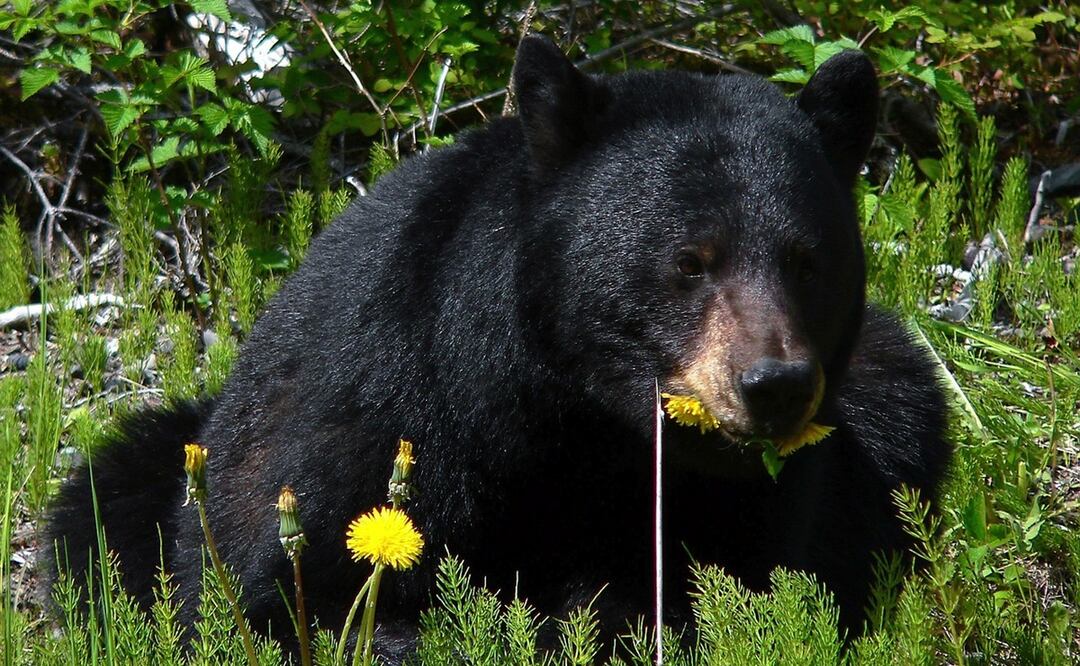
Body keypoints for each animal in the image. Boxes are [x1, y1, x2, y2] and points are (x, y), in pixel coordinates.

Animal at [47, 34, 950, 659]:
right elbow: (280, 594)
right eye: (690, 261)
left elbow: (737, 587)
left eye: (808, 260)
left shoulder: (756, 498)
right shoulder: (375, 409)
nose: (774, 384)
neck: (573, 417)